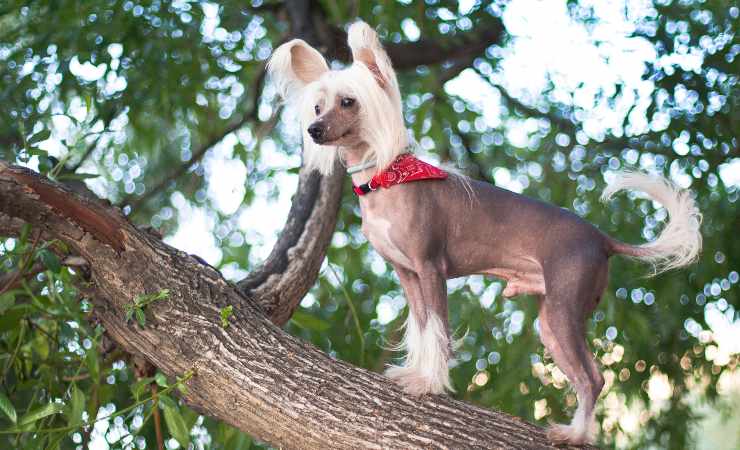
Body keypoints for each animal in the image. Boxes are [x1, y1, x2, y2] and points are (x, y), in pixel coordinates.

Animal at [266, 20, 700, 442]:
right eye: (317, 106)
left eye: (348, 102)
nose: (313, 129)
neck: (386, 179)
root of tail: (602, 238)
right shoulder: (408, 274)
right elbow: (422, 328)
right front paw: (415, 373)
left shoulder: (431, 268)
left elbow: (438, 328)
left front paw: (430, 384)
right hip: (551, 323)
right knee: (587, 377)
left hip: (564, 310)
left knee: (594, 379)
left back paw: (575, 434)